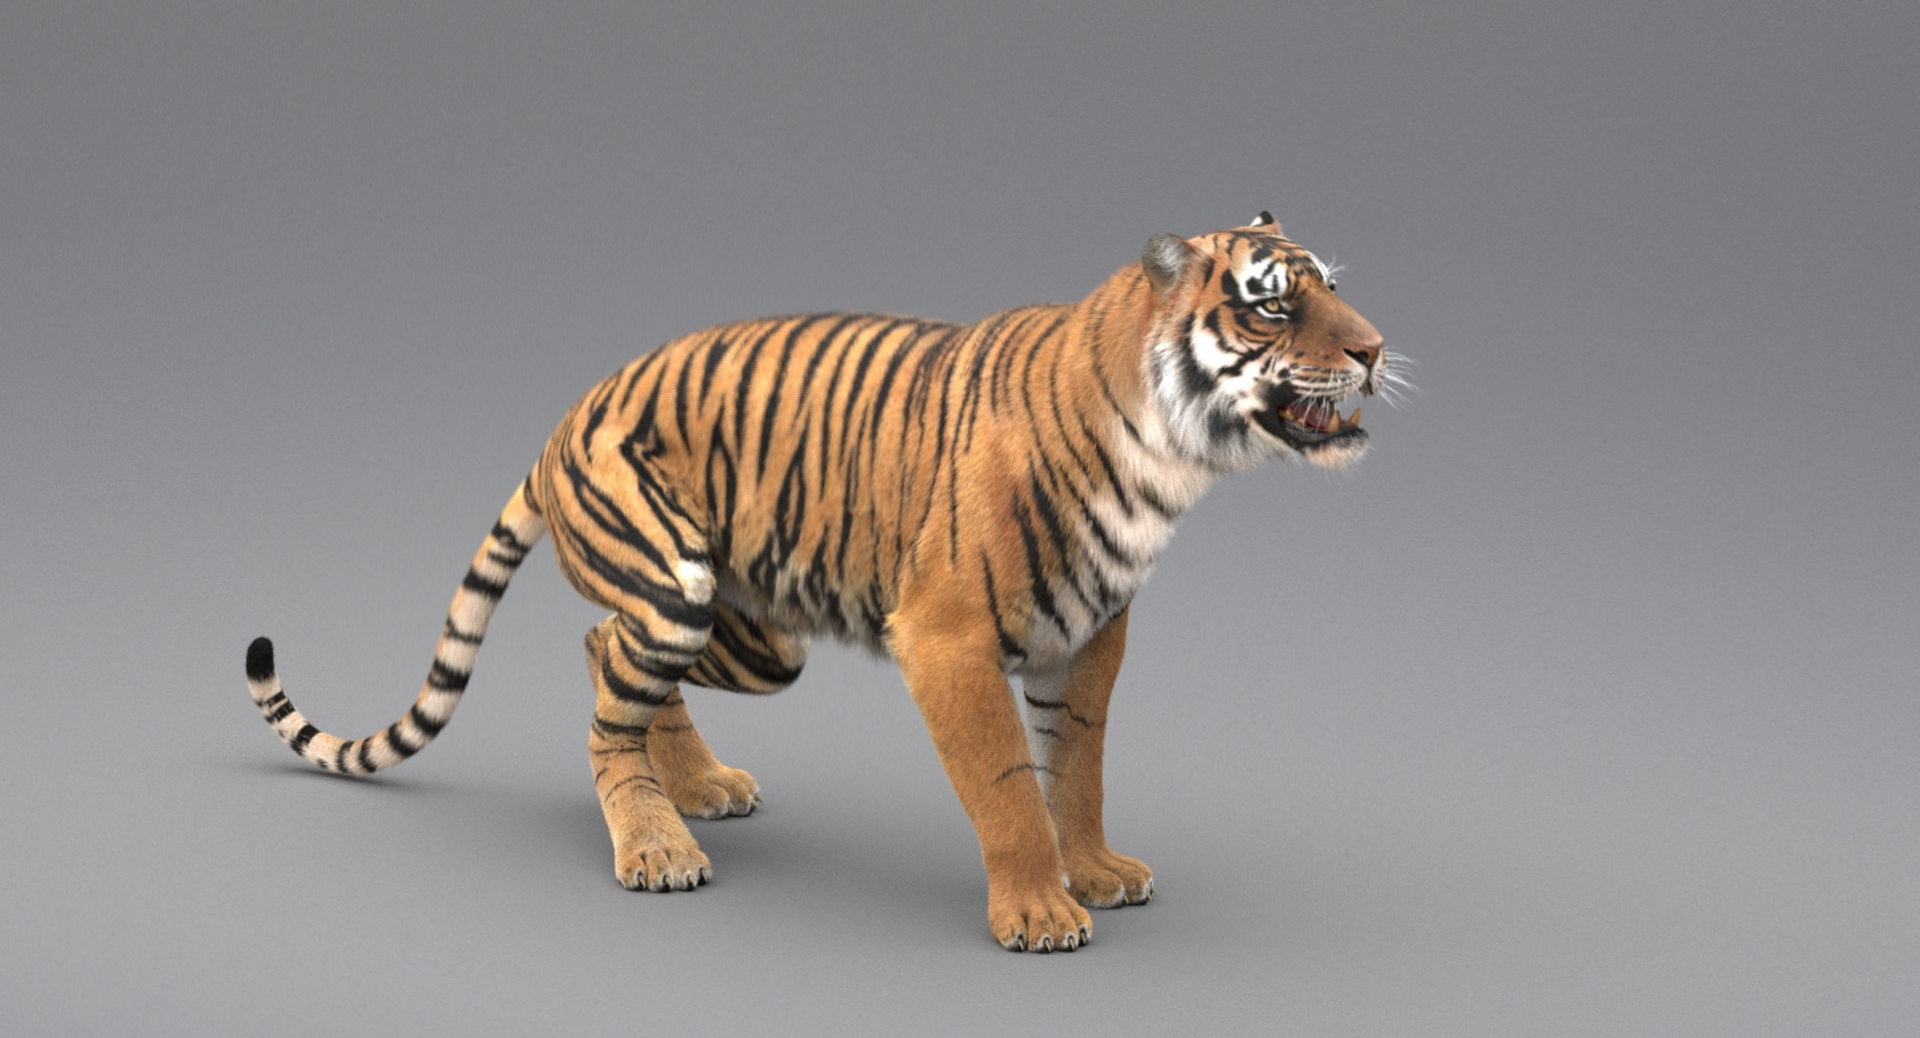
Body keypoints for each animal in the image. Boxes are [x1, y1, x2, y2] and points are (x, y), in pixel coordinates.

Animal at [244, 212, 1398, 952]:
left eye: (1337, 288)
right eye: (1276, 308)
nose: (1378, 351)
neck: (1169, 461)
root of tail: (563, 422)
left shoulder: (1092, 634)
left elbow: (1078, 766)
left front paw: (1100, 871)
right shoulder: (945, 635)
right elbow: (1006, 787)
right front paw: (1036, 913)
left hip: (756, 630)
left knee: (601, 647)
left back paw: (698, 787)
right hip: (679, 580)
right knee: (608, 698)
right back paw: (655, 843)